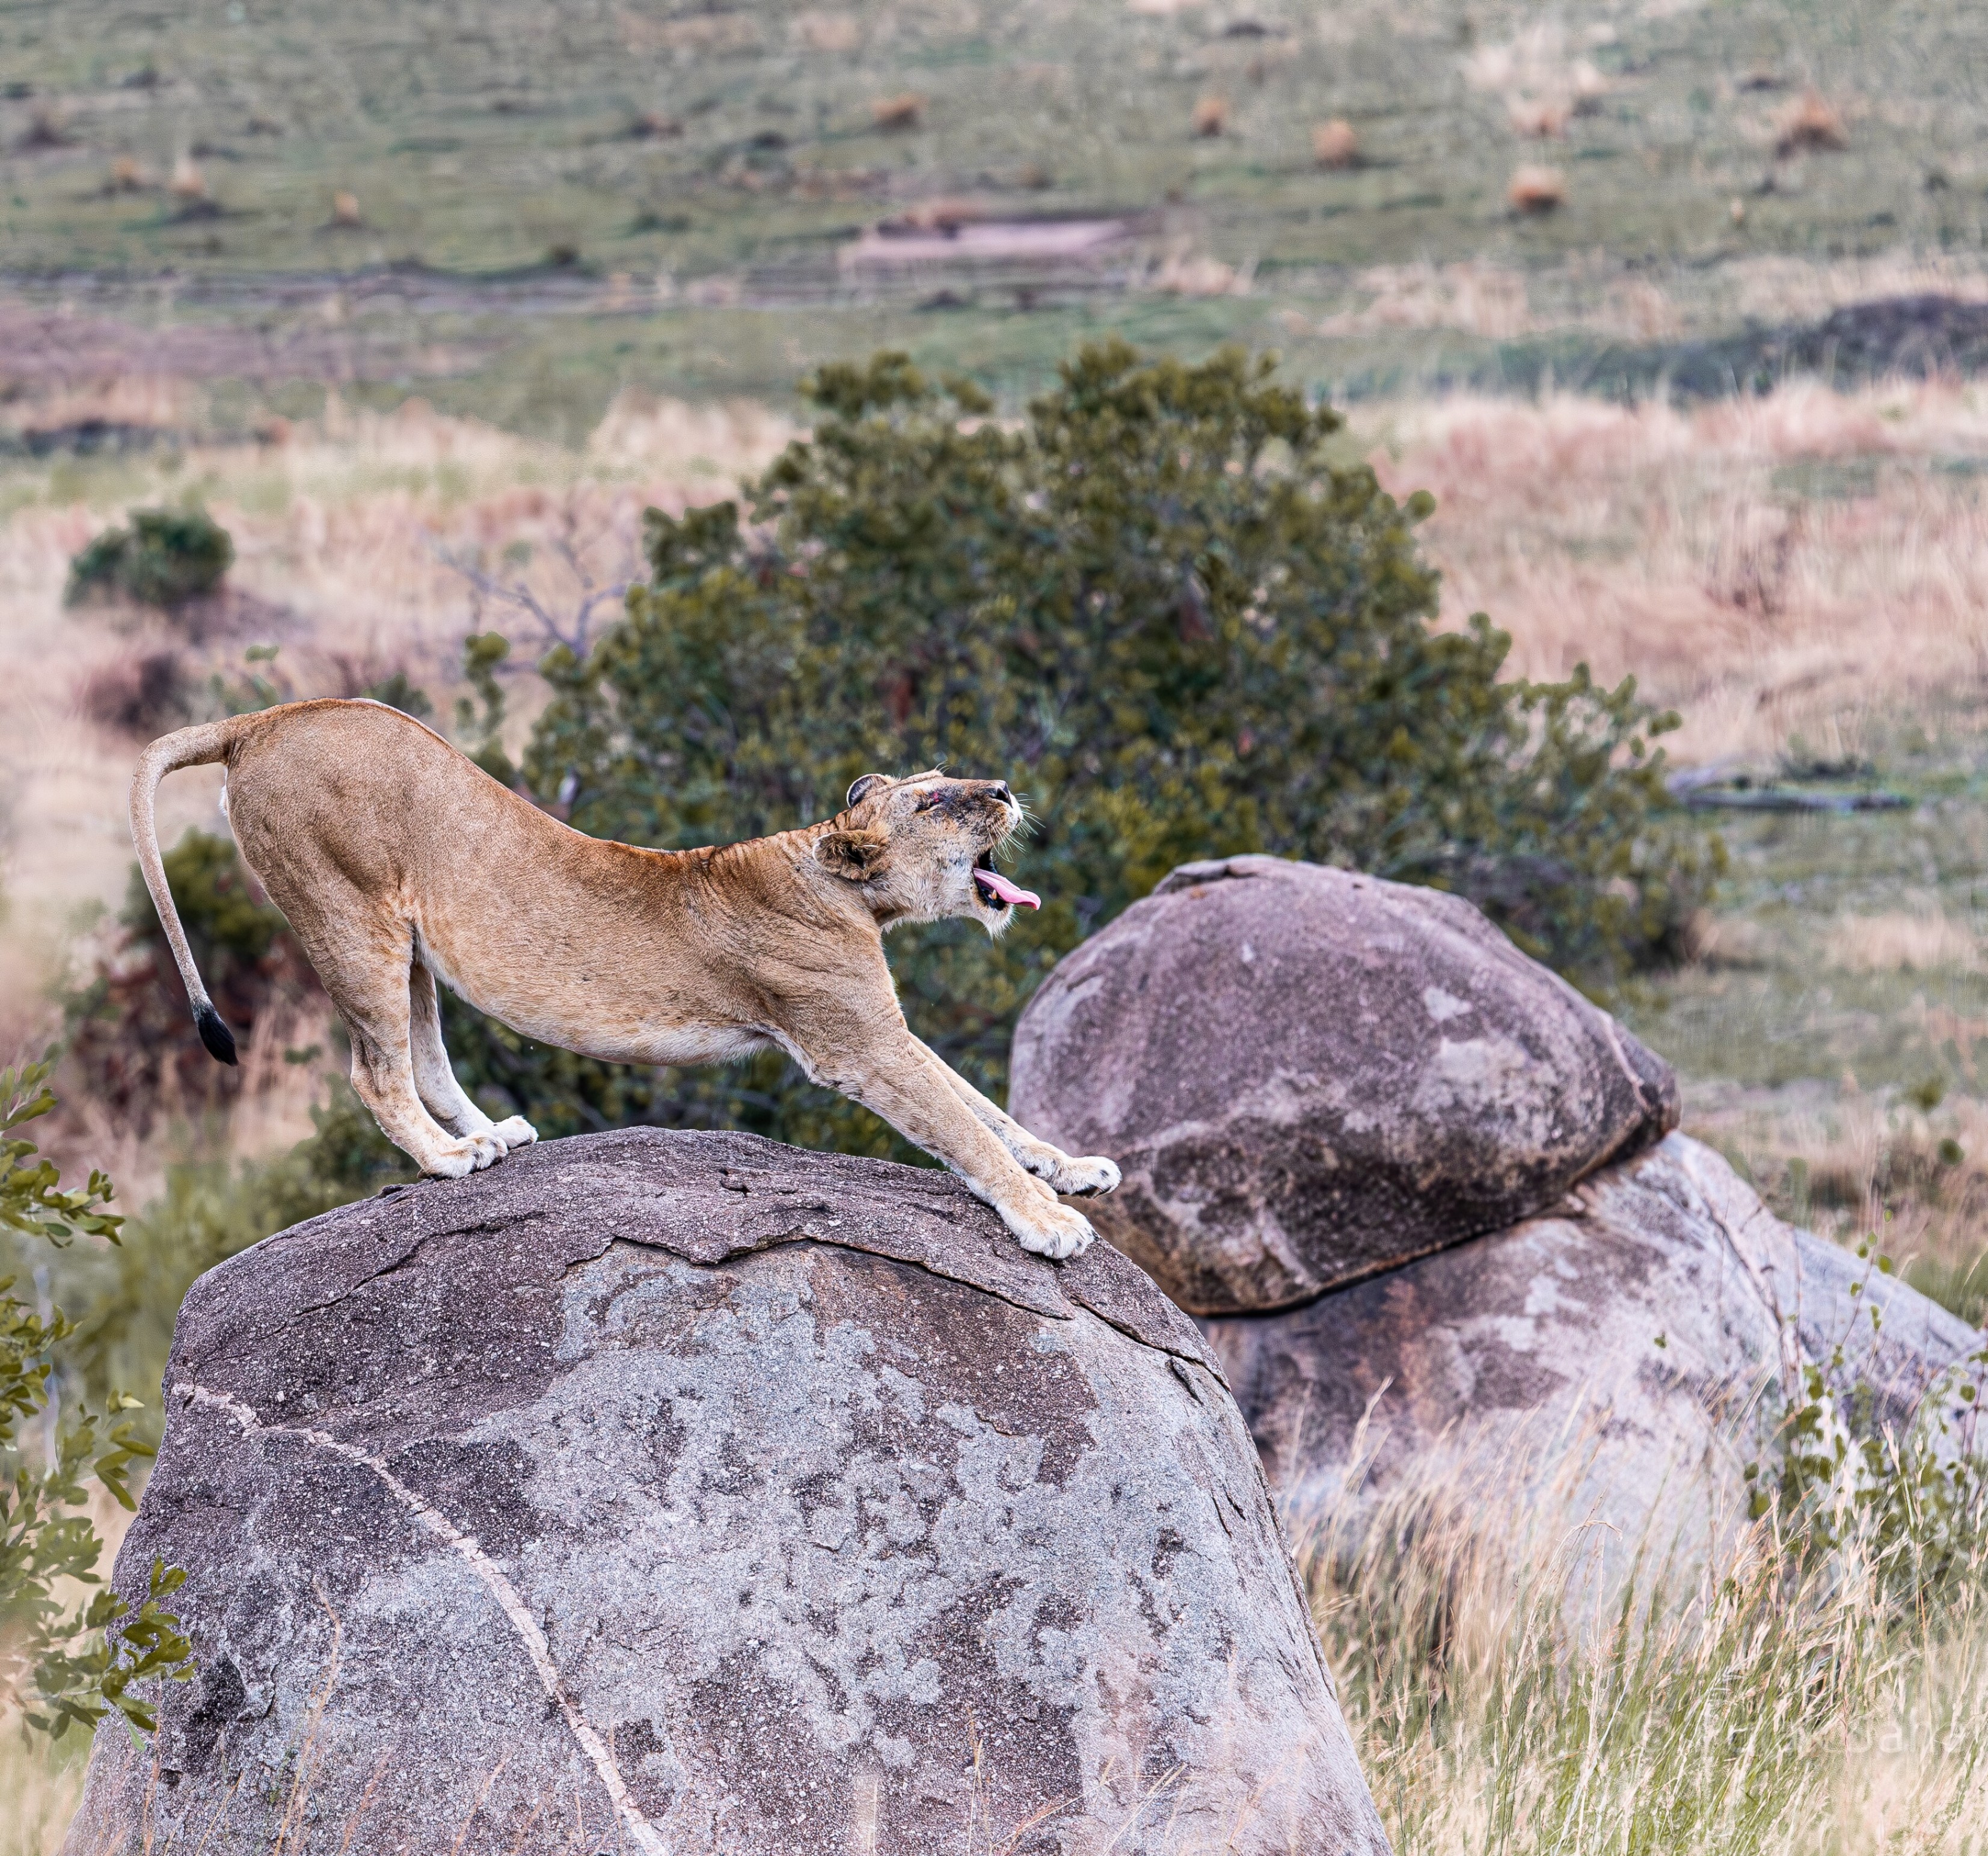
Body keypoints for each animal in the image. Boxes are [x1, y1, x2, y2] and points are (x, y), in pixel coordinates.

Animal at [130, 700, 1119, 1258]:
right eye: (935, 798)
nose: (1005, 786)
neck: (839, 883)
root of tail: (261, 719)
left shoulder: (880, 1028)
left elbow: (983, 1106)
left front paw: (1072, 1170)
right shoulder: (857, 1042)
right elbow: (964, 1127)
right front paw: (1047, 1222)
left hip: (407, 944)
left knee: (426, 1060)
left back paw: (495, 1137)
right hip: (347, 912)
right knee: (374, 1072)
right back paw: (450, 1160)